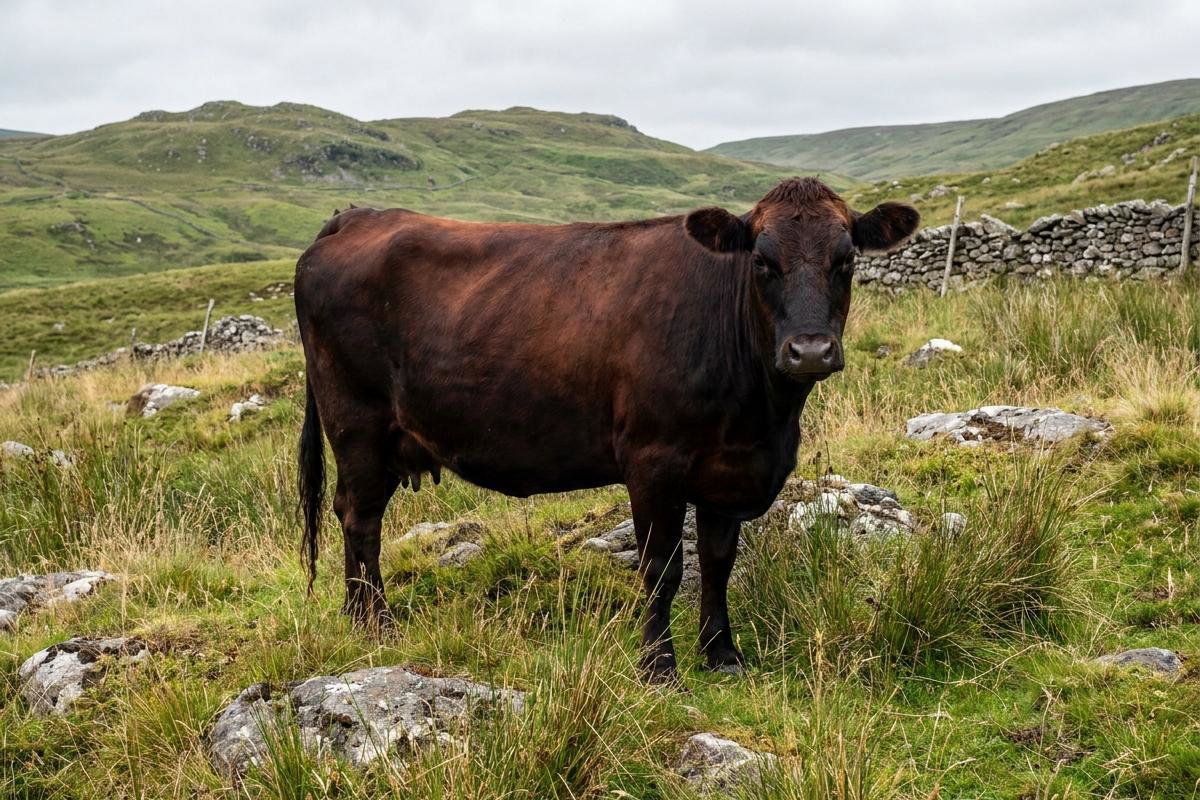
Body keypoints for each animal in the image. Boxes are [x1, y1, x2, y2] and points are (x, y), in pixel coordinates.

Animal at [295, 177, 918, 683]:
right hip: (357, 425)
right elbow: (662, 568)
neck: (764, 418)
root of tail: (356, 217)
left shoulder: (727, 468)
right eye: (763, 261)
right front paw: (659, 667)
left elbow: (717, 562)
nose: (809, 350)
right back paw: (375, 623)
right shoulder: (652, 461)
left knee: (353, 515)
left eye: (846, 259)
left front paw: (722, 654)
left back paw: (356, 616)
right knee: (360, 518)